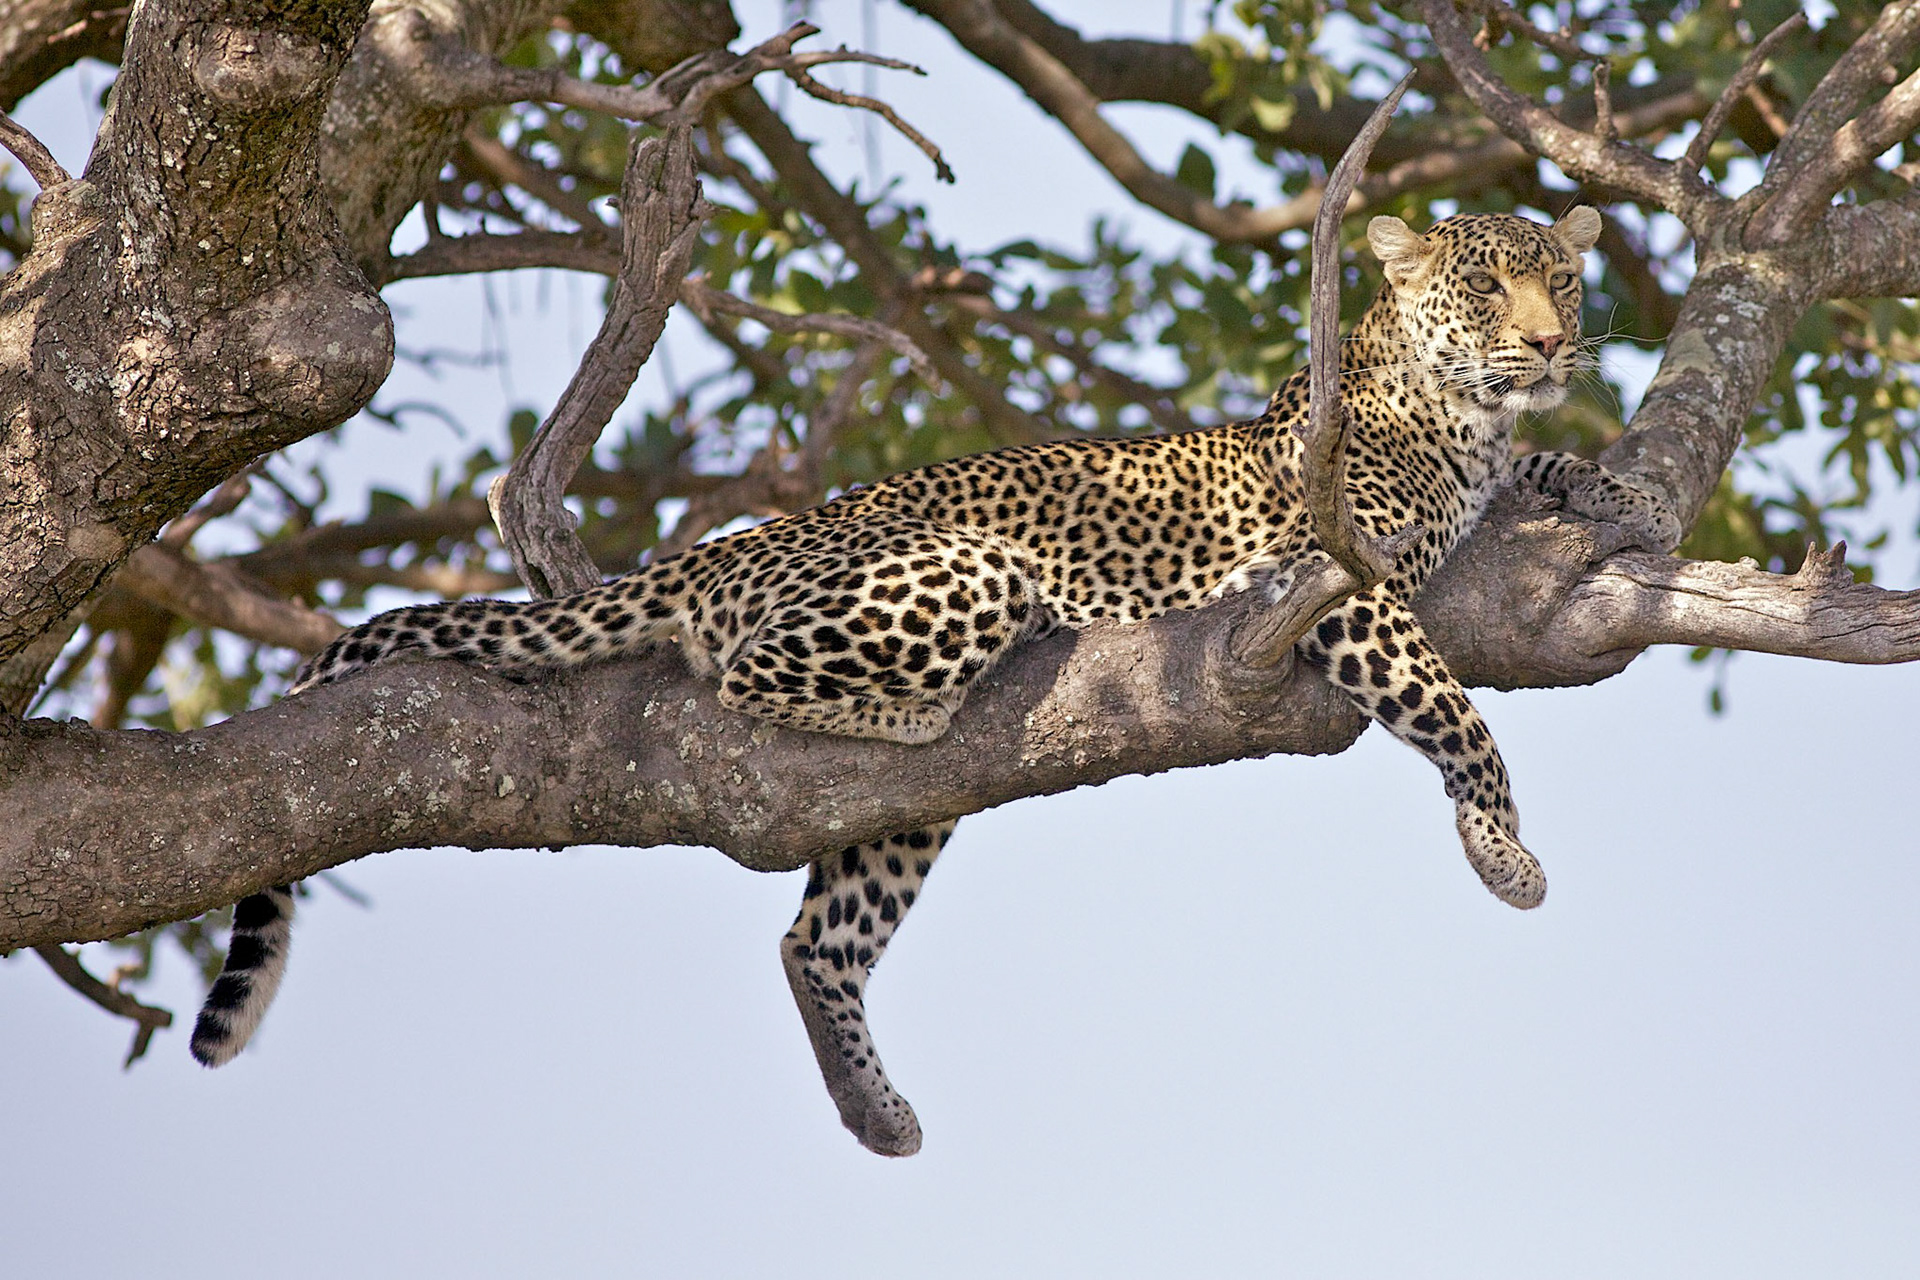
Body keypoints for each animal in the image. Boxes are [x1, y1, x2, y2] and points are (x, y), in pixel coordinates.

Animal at [190, 207, 1681, 1157]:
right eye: (1489, 292)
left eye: (1564, 285)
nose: (1553, 344)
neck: (1453, 418)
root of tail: (739, 539)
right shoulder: (1342, 586)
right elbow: (1457, 710)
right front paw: (1503, 849)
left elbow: (1545, 470)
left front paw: (1629, 496)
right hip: (961, 575)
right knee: (742, 676)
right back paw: (910, 707)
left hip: (892, 820)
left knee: (815, 938)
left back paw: (873, 1108)